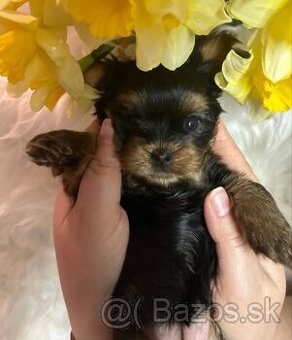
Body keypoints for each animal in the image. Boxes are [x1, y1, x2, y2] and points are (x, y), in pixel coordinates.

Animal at [26, 30, 290, 338]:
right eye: (130, 120)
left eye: (191, 124)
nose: (161, 154)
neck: (164, 189)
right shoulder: (88, 188)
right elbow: (85, 158)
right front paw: (62, 144)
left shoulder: (210, 181)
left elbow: (243, 185)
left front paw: (277, 234)